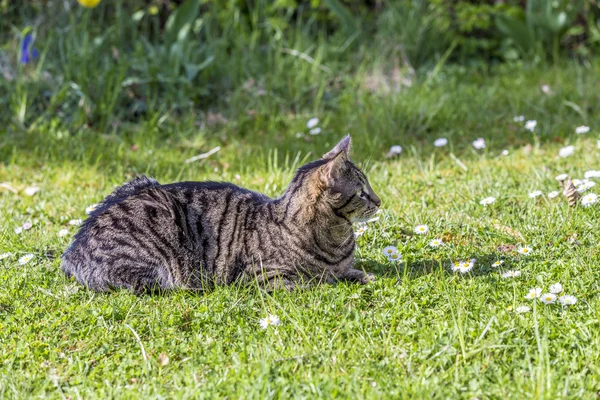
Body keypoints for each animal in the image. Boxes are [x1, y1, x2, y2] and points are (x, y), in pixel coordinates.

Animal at [61, 136, 380, 292]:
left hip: (142, 181)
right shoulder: (264, 277)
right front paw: (331, 284)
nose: (379, 201)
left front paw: (365, 277)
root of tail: (72, 253)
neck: (336, 236)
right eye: (362, 191)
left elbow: (355, 273)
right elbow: (313, 283)